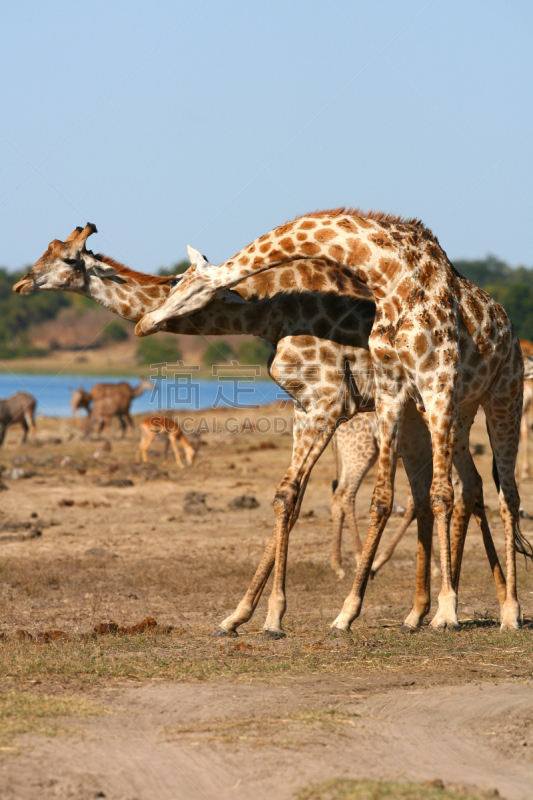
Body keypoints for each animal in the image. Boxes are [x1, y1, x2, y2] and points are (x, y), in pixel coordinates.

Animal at [135, 206, 528, 632]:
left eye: (184, 287)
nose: (143, 323)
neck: (390, 276)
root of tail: (511, 332)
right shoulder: (389, 390)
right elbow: (377, 498)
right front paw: (340, 612)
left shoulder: (432, 384)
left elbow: (441, 495)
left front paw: (448, 611)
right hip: (459, 412)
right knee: (470, 486)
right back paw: (432, 610)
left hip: (500, 398)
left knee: (505, 496)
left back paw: (510, 611)